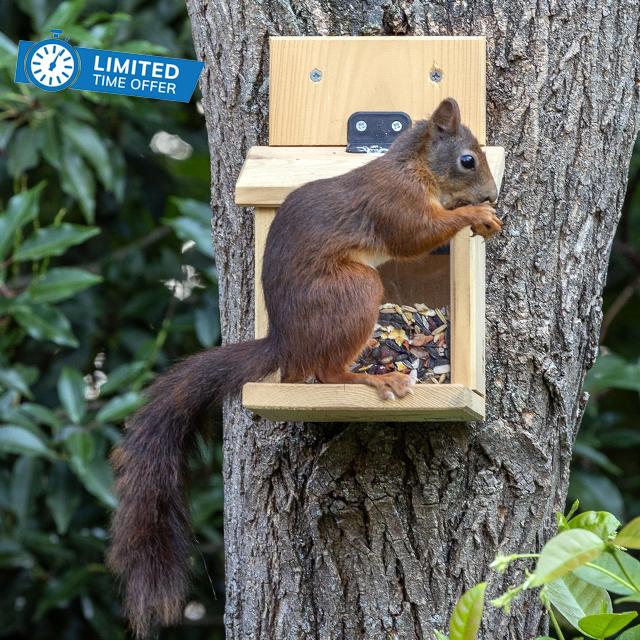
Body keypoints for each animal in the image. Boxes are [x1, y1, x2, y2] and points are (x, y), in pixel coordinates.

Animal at [106, 97, 501, 637]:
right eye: (467, 160)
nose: (492, 194)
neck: (414, 168)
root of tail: (284, 343)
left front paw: (481, 215)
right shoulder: (394, 204)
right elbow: (417, 235)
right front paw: (475, 213)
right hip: (354, 292)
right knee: (329, 372)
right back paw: (374, 379)